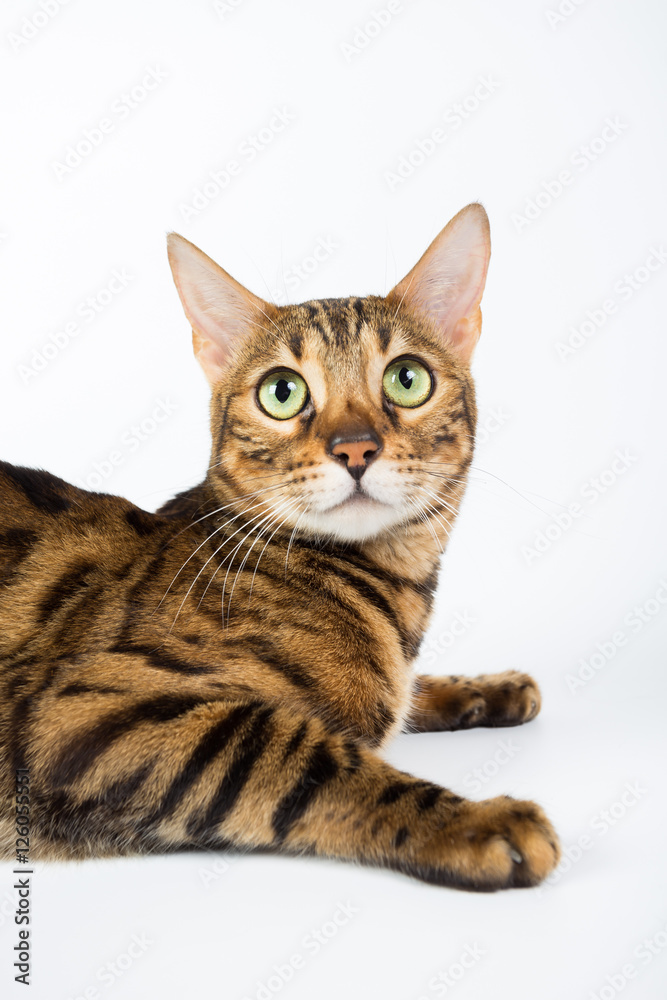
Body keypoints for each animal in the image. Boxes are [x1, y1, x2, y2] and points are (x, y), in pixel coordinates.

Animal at [0, 203, 560, 892]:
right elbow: (308, 754)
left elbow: (407, 693)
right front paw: (478, 822)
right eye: (282, 392)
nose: (355, 447)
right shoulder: (77, 714)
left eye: (407, 380)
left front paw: (487, 687)